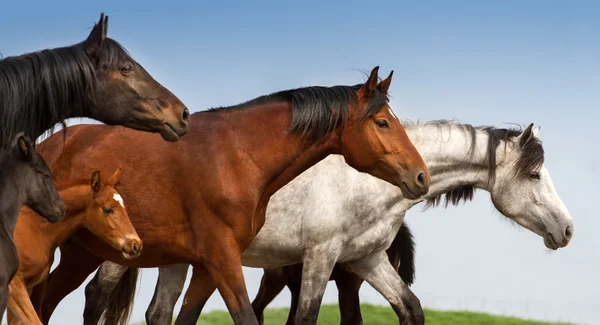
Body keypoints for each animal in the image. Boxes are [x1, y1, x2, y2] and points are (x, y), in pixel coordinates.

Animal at [7, 167, 141, 324]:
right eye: (108, 209)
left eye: (124, 207)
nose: (136, 244)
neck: (33, 228)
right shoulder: (15, 285)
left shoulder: (27, 286)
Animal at [31, 66, 432, 324]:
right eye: (382, 122)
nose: (421, 176)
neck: (237, 156)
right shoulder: (222, 259)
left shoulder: (209, 265)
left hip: (81, 255)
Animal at [54, 120, 568, 322]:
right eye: (535, 174)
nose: (567, 230)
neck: (374, 180)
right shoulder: (320, 257)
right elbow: (305, 317)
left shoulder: (366, 261)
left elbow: (410, 308)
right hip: (125, 253)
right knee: (96, 296)